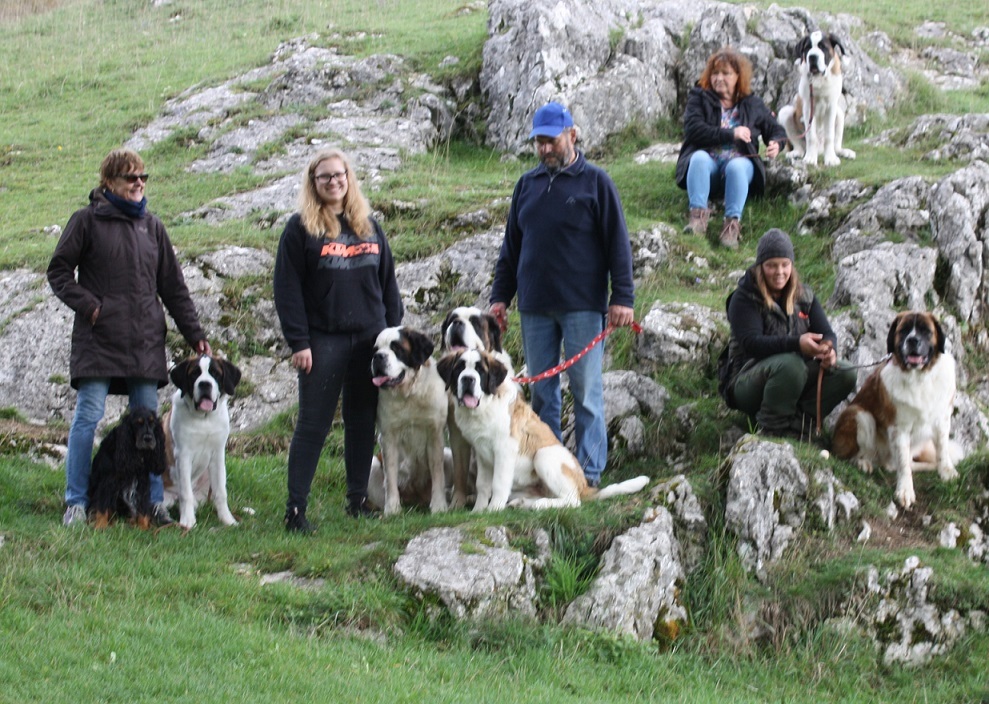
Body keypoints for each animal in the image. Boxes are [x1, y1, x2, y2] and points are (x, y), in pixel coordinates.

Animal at [162, 358, 241, 528]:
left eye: (216, 373)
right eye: (194, 374)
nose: (205, 384)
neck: (205, 419)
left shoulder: (218, 455)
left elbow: (221, 491)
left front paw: (227, 519)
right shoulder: (183, 455)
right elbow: (185, 493)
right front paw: (188, 522)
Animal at [366, 326, 452, 516]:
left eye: (396, 348)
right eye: (375, 350)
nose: (378, 357)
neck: (409, 393)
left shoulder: (435, 434)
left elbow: (438, 472)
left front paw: (439, 506)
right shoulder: (388, 437)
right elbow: (390, 475)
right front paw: (392, 508)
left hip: (449, 454)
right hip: (373, 465)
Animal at [434, 350, 648, 512]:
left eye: (480, 370)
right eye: (459, 368)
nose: (468, 379)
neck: (486, 404)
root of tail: (585, 486)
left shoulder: (505, 449)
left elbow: (498, 483)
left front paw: (493, 510)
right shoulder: (481, 453)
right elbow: (483, 485)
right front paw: (478, 511)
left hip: (544, 455)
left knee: (573, 501)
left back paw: (541, 504)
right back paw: (524, 503)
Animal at [780, 31, 856, 168]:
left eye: (822, 47)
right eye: (807, 48)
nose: (812, 57)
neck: (819, 78)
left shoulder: (831, 106)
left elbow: (829, 136)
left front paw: (830, 159)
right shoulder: (808, 107)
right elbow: (811, 136)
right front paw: (810, 158)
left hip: (839, 113)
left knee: (836, 146)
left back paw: (844, 152)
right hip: (785, 112)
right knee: (800, 146)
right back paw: (796, 153)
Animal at [828, 312, 960, 506]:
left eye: (925, 331)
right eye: (904, 330)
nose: (913, 340)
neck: (919, 378)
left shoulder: (942, 419)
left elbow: (942, 449)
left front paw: (947, 473)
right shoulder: (899, 428)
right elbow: (903, 463)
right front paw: (905, 491)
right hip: (860, 415)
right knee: (860, 453)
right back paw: (862, 463)